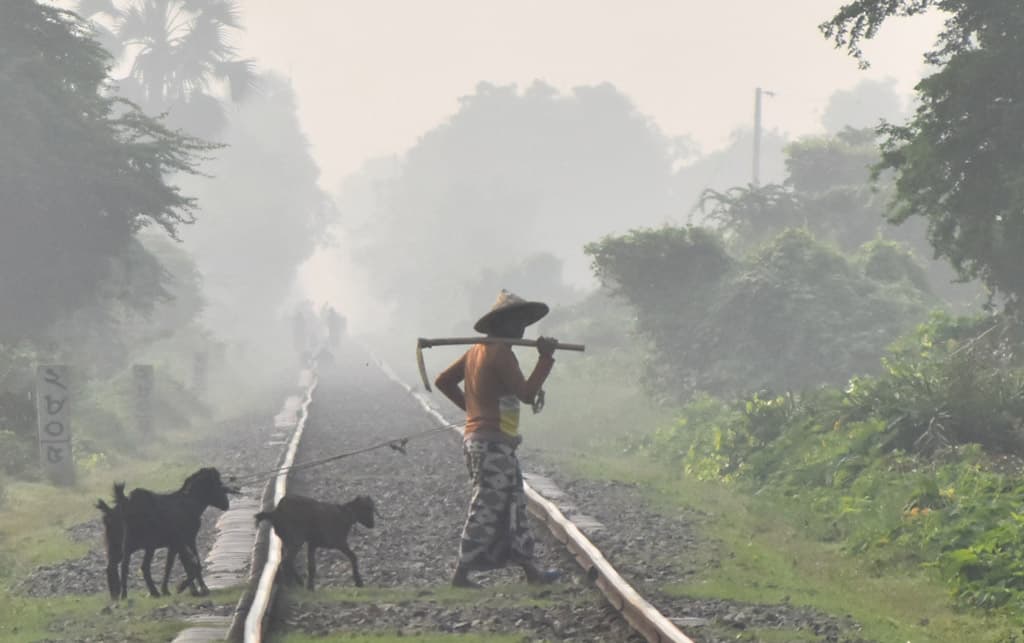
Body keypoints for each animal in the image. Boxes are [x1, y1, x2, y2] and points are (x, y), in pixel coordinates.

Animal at [95, 466, 231, 597]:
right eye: (218, 484)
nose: (226, 504)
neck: (191, 503)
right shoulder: (186, 539)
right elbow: (193, 563)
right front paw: (190, 588)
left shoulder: (175, 544)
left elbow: (172, 565)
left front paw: (172, 590)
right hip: (145, 543)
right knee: (140, 566)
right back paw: (149, 592)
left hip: (122, 545)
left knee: (118, 566)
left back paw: (119, 595)